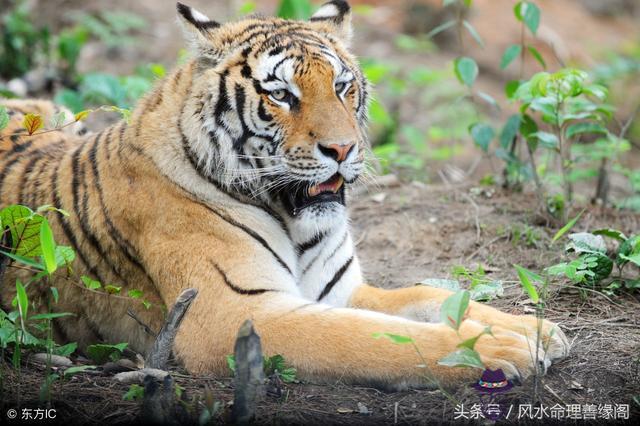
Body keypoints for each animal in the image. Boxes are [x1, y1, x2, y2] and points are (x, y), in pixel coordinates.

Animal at [0, 0, 568, 390]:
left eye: (342, 86)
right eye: (281, 94)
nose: (342, 148)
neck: (293, 220)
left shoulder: (338, 291)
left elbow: (429, 295)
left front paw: (536, 330)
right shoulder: (231, 314)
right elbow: (373, 336)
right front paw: (498, 350)